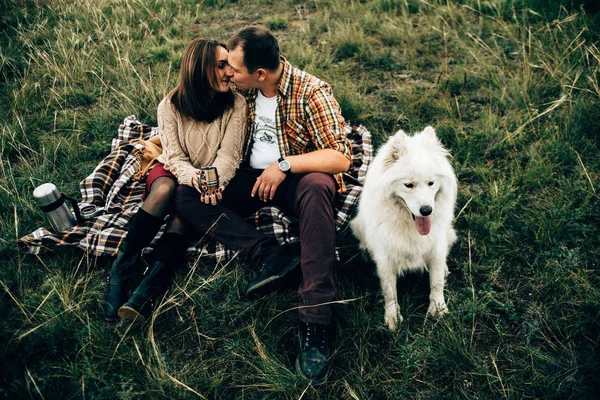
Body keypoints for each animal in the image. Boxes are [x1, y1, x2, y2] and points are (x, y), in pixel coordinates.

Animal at [350, 126, 458, 330]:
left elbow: (436, 281)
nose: (427, 210)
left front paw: (438, 309)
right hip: (358, 225)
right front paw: (393, 317)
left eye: (431, 183)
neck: (410, 226)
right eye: (409, 185)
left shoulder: (436, 246)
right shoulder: (385, 256)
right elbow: (389, 290)